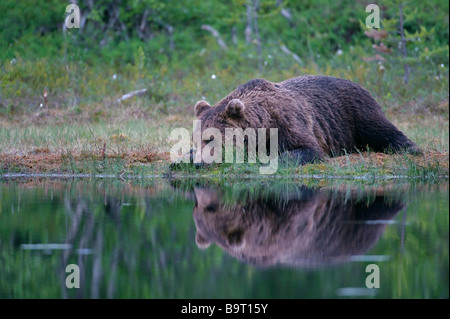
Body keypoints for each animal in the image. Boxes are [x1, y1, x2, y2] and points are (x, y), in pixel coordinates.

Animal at [193, 75, 422, 165]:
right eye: (197, 139)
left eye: (211, 139)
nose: (199, 163)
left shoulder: (289, 122)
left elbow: (307, 148)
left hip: (356, 111)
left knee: (379, 128)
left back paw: (410, 148)